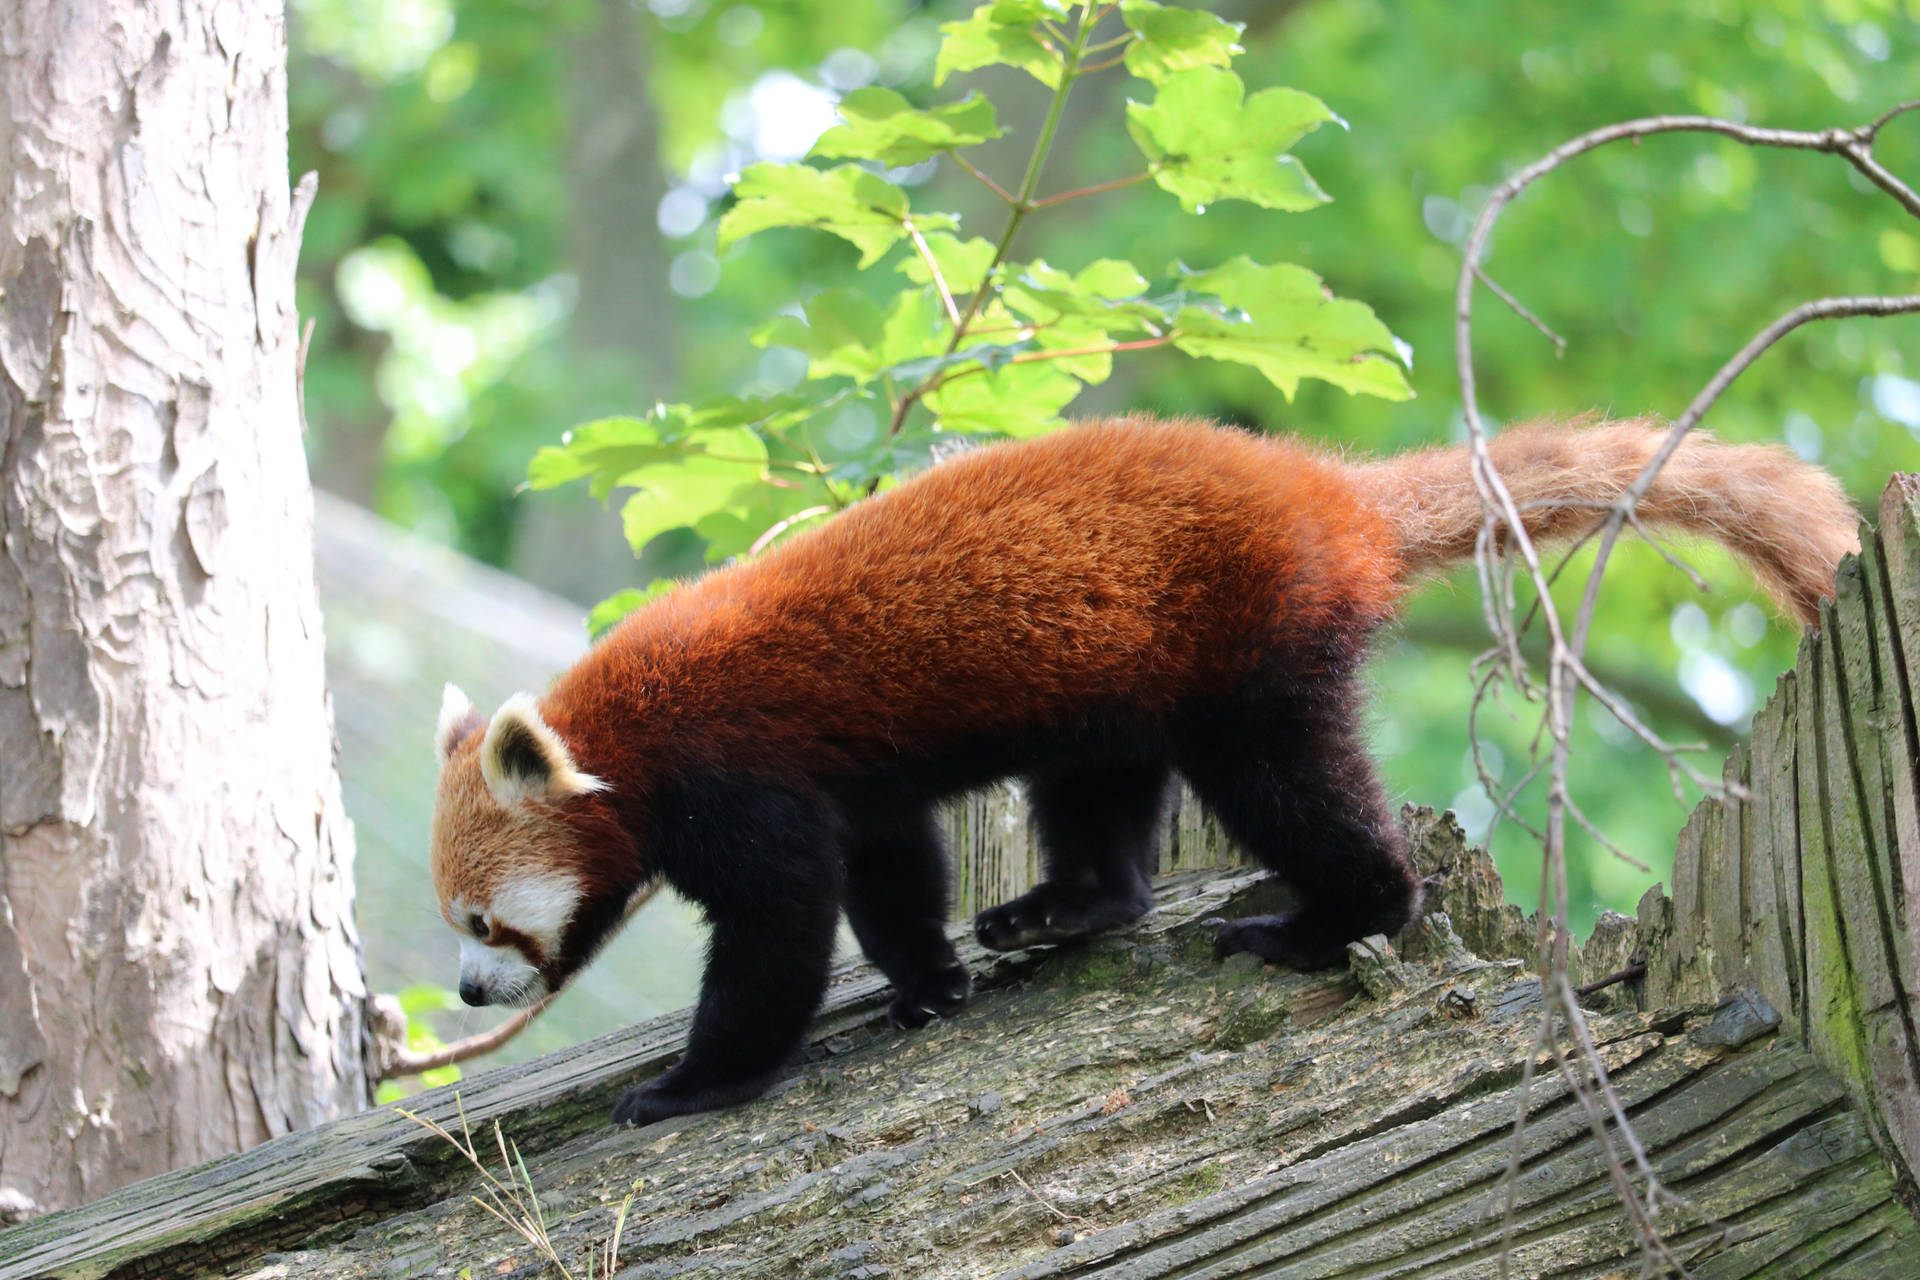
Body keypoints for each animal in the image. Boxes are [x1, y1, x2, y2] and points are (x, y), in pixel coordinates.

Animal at [432, 416, 1858, 1128]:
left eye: (482, 921)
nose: (463, 990)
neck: (622, 736)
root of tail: (1327, 491)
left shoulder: (740, 772)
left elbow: (779, 933)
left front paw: (694, 1083)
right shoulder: (851, 784)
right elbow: (891, 869)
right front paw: (931, 979)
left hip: (1250, 650)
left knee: (1290, 789)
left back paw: (1330, 917)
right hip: (1117, 680)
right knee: (1103, 803)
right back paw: (1067, 906)